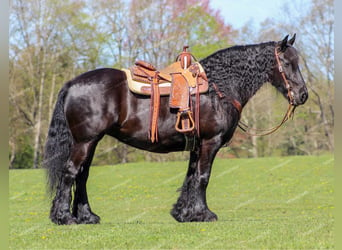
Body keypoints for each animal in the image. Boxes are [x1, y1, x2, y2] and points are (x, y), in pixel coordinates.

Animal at [42, 34, 308, 225]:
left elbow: (191, 176)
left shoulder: (197, 144)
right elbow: (203, 177)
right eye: (287, 63)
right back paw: (64, 218)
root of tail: (72, 83)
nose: (303, 95)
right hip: (85, 142)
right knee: (70, 173)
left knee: (82, 176)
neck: (219, 87)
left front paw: (184, 213)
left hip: (90, 142)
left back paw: (87, 216)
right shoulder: (210, 142)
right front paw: (204, 214)